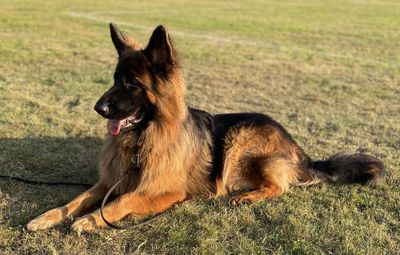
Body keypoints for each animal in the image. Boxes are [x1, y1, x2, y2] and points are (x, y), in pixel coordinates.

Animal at [26, 23, 386, 233]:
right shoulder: (108, 182)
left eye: (131, 83)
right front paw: (47, 217)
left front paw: (89, 220)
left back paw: (246, 196)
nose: (98, 108)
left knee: (277, 185)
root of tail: (301, 151)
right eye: (115, 80)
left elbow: (120, 202)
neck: (144, 140)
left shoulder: (164, 192)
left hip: (239, 140)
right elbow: (76, 199)